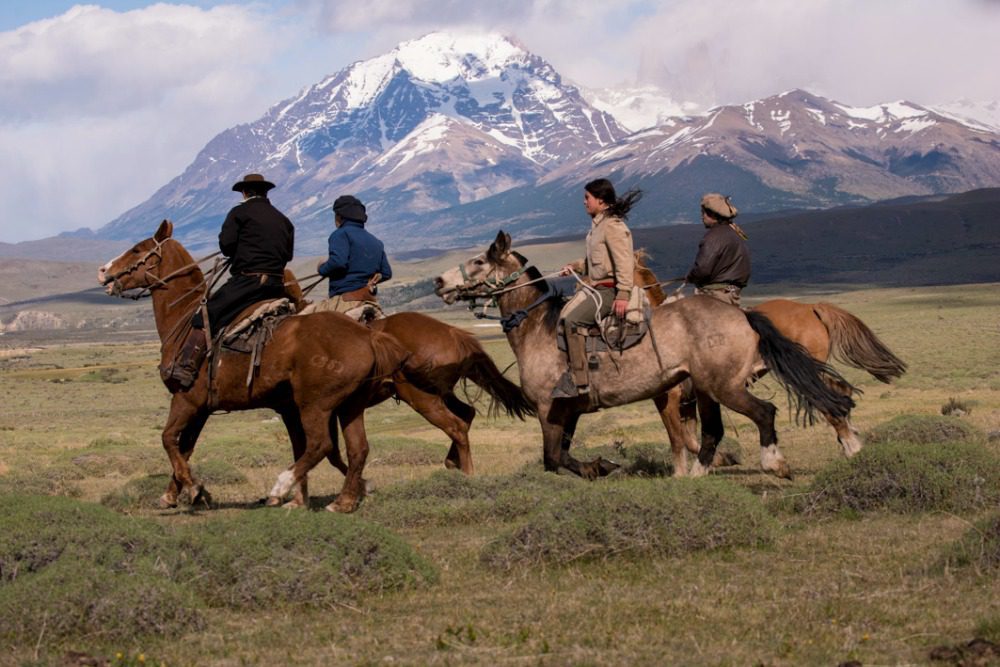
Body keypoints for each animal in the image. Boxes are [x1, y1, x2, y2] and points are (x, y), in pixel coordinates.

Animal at [94, 222, 406, 516]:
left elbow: (168, 439)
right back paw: (344, 501)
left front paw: (194, 489)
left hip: (315, 404)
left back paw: (282, 486)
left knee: (321, 445)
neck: (184, 317)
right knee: (356, 449)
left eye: (137, 249)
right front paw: (175, 494)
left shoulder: (186, 399)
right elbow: (186, 447)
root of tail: (367, 335)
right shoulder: (203, 408)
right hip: (349, 406)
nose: (103, 271)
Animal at [434, 234, 856, 480]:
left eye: (479, 261)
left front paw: (600, 466)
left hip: (725, 386)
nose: (438, 282)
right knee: (715, 430)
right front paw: (601, 466)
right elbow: (564, 456)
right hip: (708, 389)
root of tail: (742, 315)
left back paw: (777, 463)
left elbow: (552, 459)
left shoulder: (548, 410)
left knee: (765, 412)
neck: (540, 328)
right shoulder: (569, 411)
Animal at [636, 254, 912, 470]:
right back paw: (850, 437)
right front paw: (722, 459)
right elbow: (694, 438)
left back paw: (849, 443)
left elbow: (678, 439)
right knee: (839, 391)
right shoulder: (690, 400)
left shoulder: (668, 398)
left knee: (829, 397)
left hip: (806, 368)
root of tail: (812, 307)